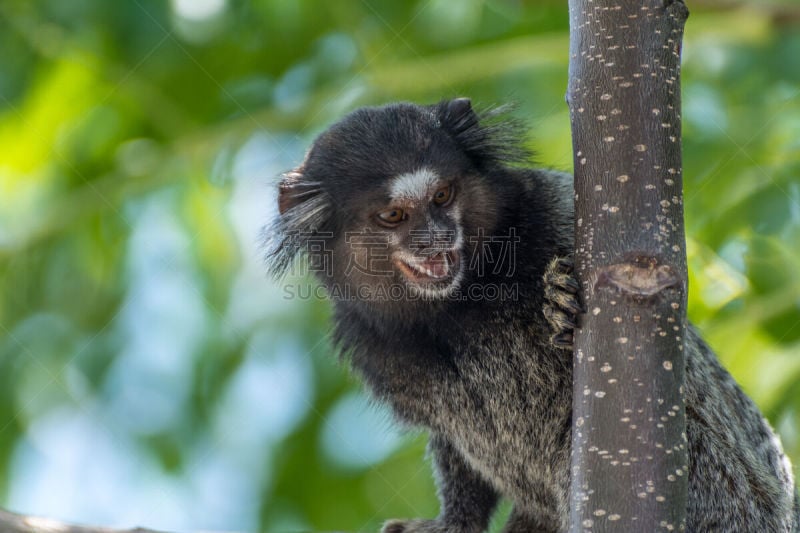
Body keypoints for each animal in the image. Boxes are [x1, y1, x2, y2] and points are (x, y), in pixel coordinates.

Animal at [268, 97, 792, 528]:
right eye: (393, 216)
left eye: (442, 197)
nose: (437, 239)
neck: (459, 306)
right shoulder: (373, 342)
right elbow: (454, 445)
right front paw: (455, 520)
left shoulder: (559, 210)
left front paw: (558, 303)